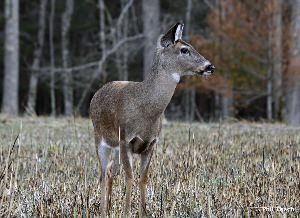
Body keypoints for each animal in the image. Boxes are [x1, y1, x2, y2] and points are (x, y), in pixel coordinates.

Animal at [89, 22, 216, 216]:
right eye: (184, 49)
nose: (210, 67)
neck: (146, 110)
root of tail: (97, 93)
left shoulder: (150, 144)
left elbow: (143, 178)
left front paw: (143, 212)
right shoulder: (126, 139)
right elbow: (130, 177)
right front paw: (126, 212)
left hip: (116, 147)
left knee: (111, 172)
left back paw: (109, 209)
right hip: (100, 139)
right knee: (103, 174)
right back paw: (104, 211)